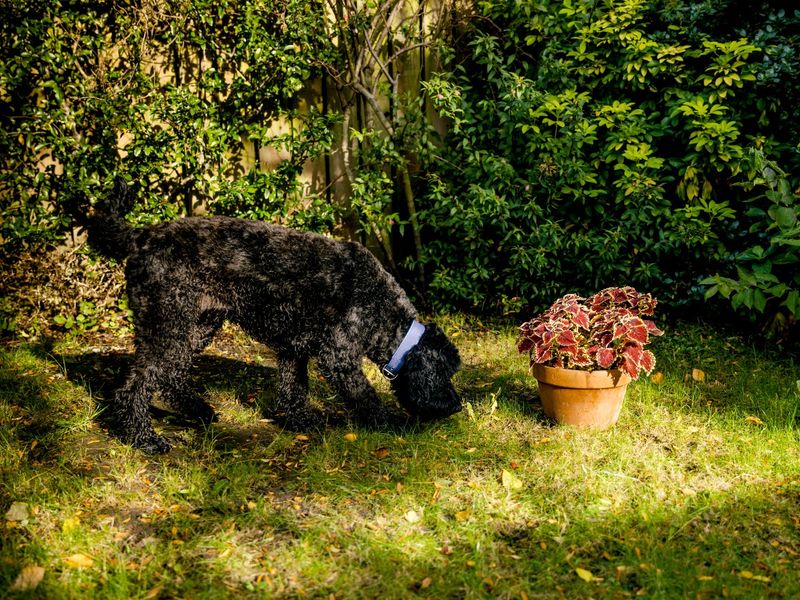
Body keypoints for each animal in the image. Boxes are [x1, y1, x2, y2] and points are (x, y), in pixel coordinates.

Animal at [82, 183, 462, 450]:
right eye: (445, 372)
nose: (456, 406)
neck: (383, 310)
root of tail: (142, 235)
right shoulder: (337, 356)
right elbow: (364, 395)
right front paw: (390, 423)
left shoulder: (295, 349)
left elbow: (294, 388)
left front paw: (301, 422)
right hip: (168, 324)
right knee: (135, 385)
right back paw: (143, 439)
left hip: (196, 325)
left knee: (171, 373)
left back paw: (198, 410)